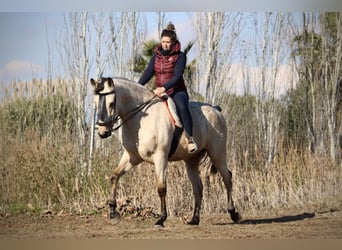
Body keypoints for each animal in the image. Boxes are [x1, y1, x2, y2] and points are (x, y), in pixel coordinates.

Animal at [90, 76, 240, 227]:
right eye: (95, 103)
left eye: (111, 103)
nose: (103, 132)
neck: (141, 120)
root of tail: (216, 110)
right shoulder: (132, 157)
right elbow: (114, 177)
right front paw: (113, 213)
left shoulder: (160, 157)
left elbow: (161, 188)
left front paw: (161, 218)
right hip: (191, 160)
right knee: (198, 187)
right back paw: (194, 219)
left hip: (217, 153)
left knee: (227, 178)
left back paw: (233, 213)